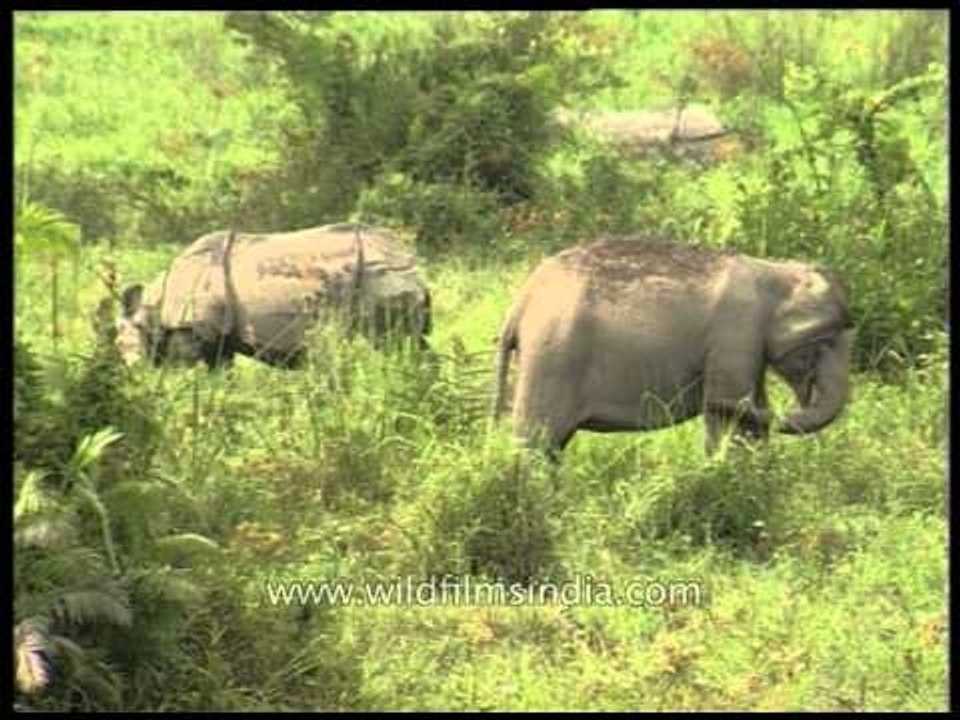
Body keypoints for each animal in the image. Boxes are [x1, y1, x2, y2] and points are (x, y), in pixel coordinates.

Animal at [117, 223, 432, 367]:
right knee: (412, 345)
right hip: (387, 278)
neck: (153, 305)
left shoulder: (195, 329)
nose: (133, 368)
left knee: (391, 346)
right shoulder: (221, 340)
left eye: (124, 337)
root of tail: (414, 268)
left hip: (378, 279)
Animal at [492, 238, 854, 457]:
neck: (775, 271)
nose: (789, 411)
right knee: (536, 442)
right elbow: (729, 417)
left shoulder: (748, 348)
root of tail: (522, 299)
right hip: (551, 358)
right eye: (825, 342)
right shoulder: (735, 334)